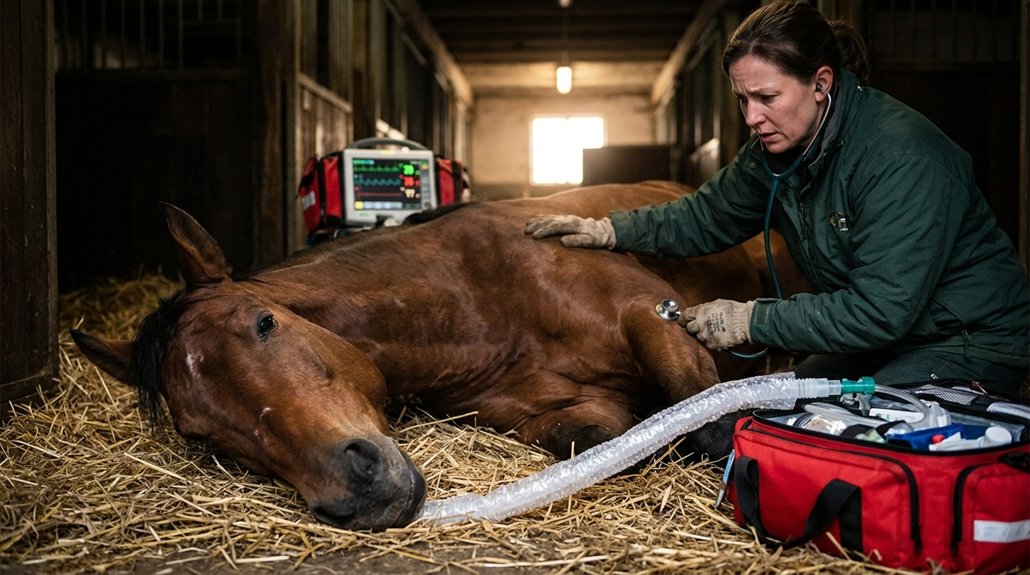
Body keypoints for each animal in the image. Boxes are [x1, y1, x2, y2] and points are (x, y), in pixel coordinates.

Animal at [71, 182, 797, 531]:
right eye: (199, 433)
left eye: (264, 322)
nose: (358, 493)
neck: (471, 296)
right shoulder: (552, 412)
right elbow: (604, 439)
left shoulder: (652, 318)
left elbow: (706, 422)